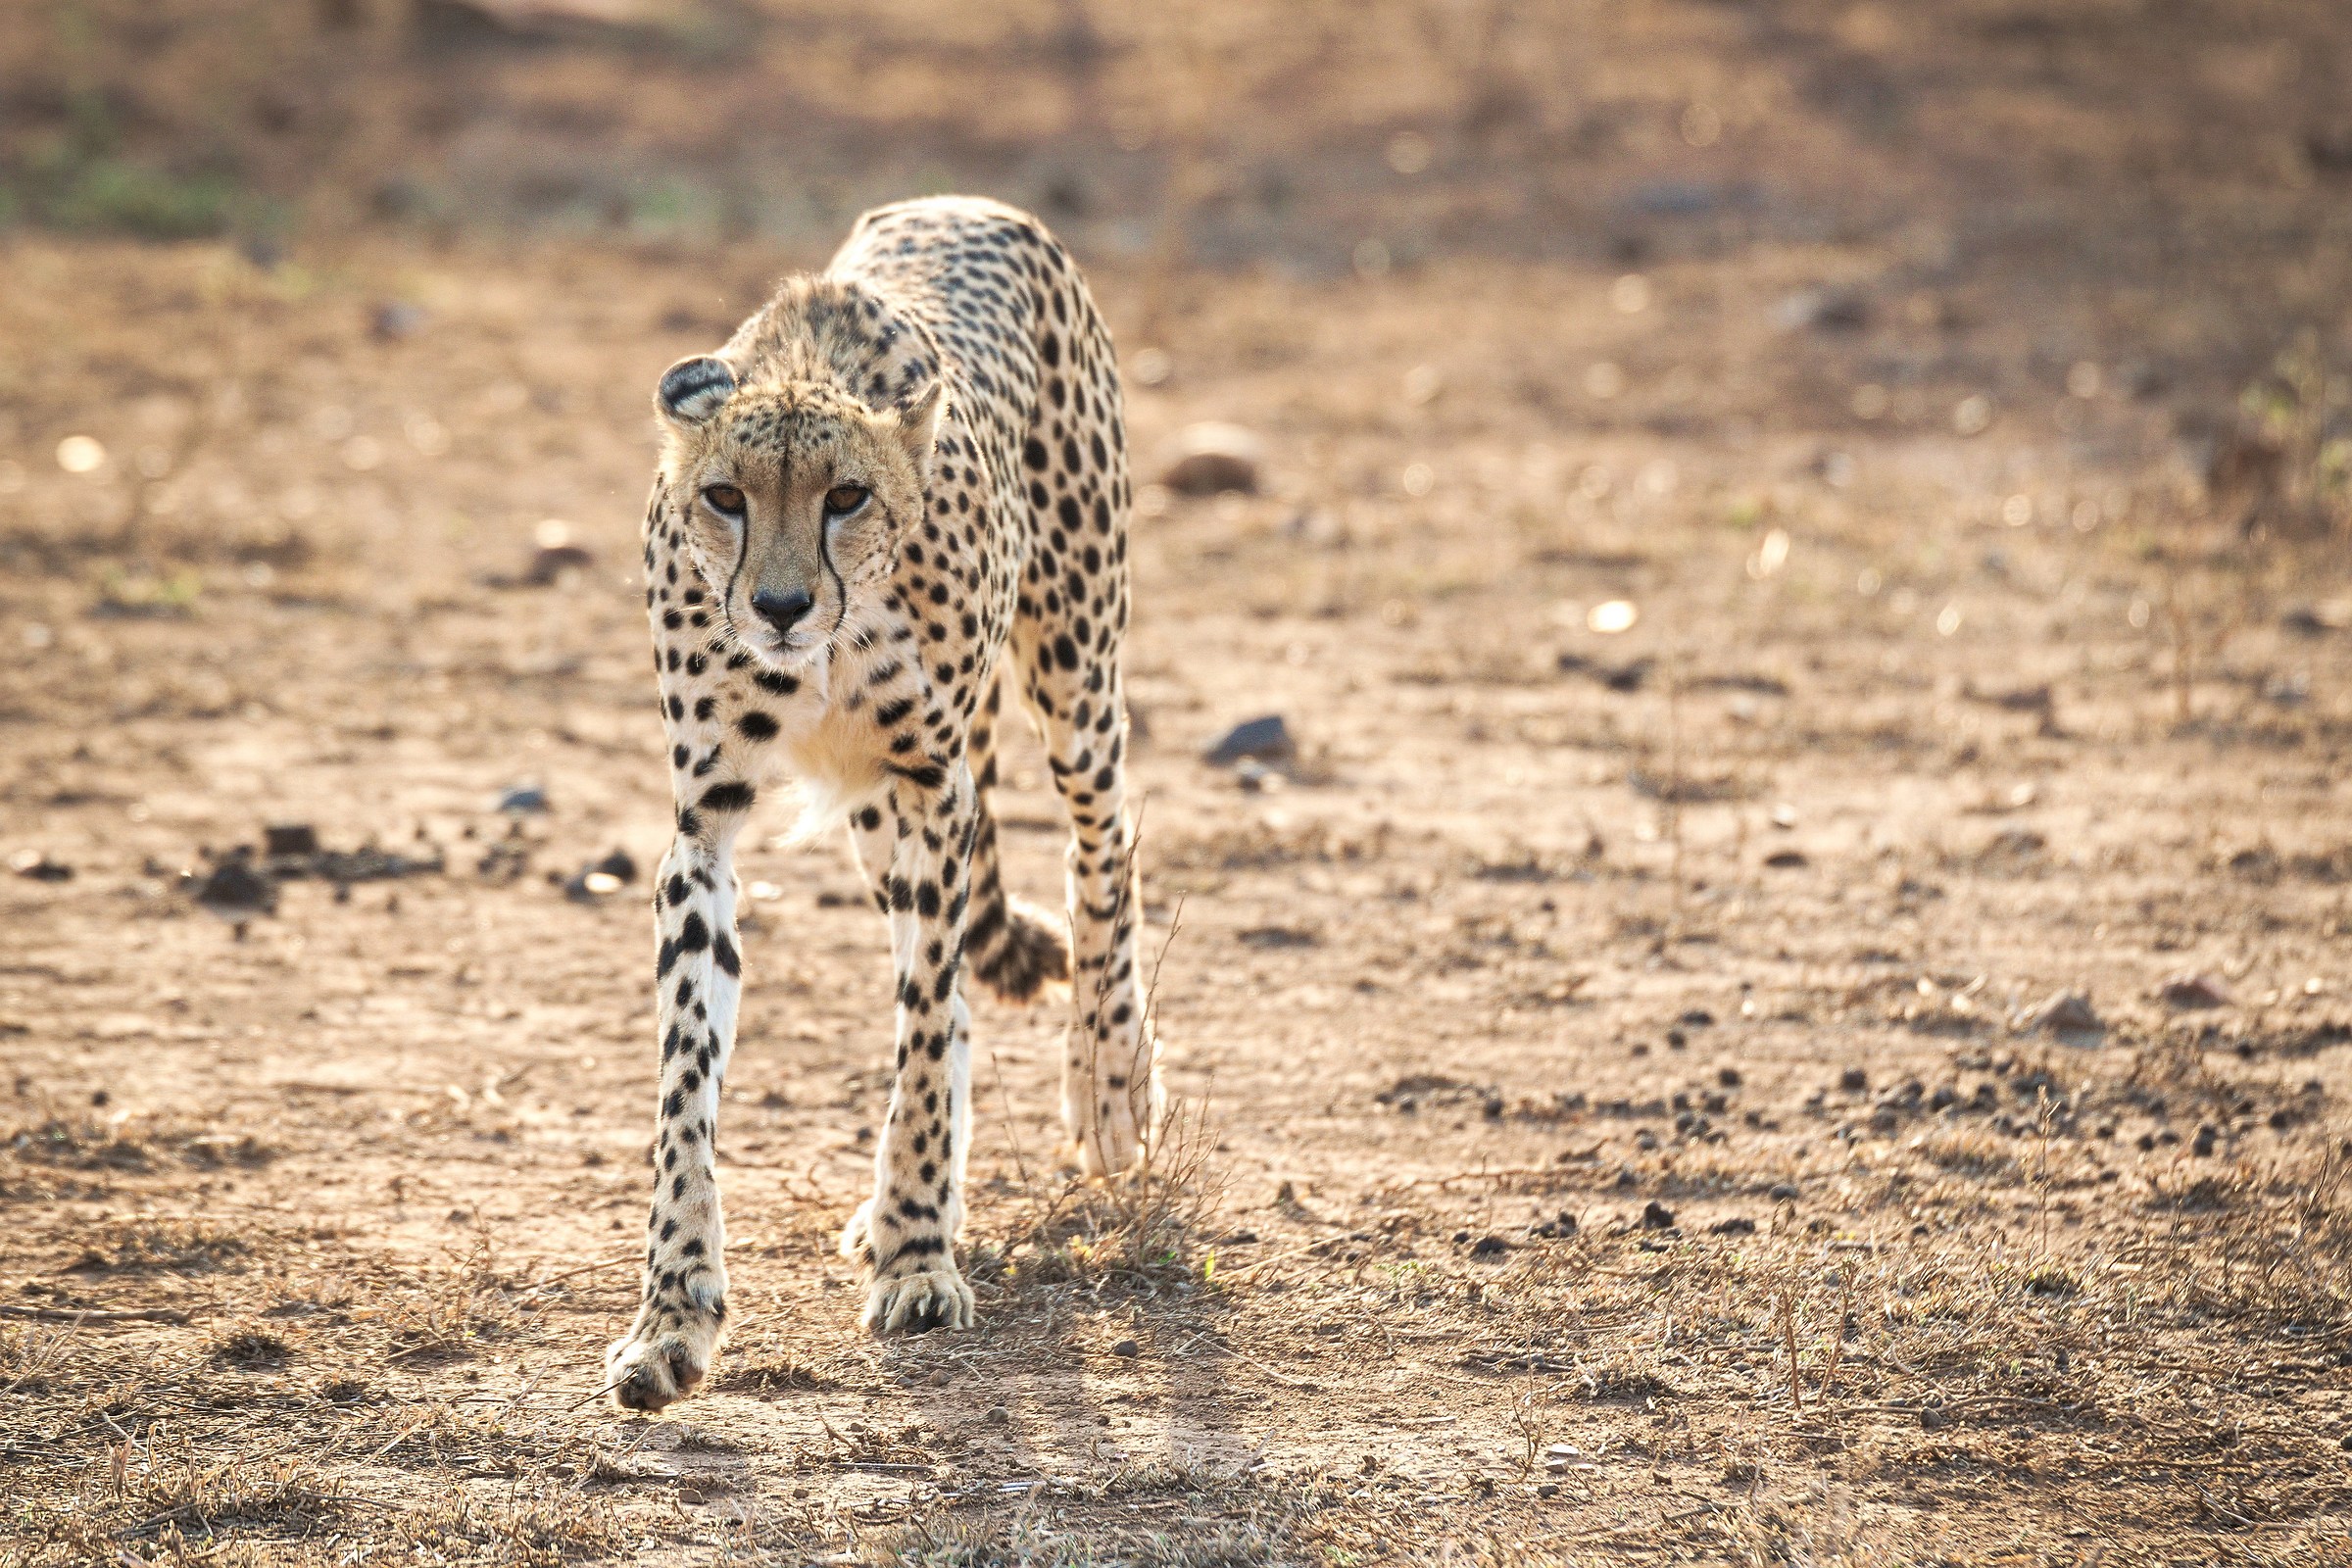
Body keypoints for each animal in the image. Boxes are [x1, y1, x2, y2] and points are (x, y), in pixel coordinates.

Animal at [602, 196, 1155, 1413]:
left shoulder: (934, 784)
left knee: (1103, 842)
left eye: (846, 496)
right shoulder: (705, 823)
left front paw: (917, 1252)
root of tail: (967, 202)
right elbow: (685, 1083)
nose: (778, 605)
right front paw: (674, 1313)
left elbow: (922, 1033)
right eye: (725, 498)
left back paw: (1111, 1087)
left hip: (1074, 666)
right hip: (870, 812)